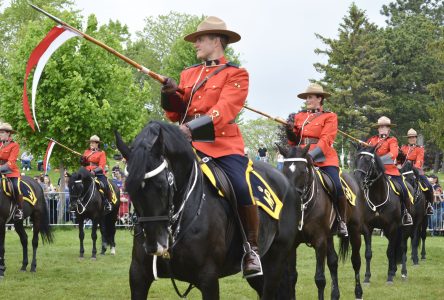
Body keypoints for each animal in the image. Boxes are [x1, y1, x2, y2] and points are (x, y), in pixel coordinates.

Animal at [116, 121, 300, 300]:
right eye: (129, 188)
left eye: (162, 185)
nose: (155, 246)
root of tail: (287, 182)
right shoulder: (138, 275)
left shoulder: (208, 278)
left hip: (275, 262)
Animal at [280, 144, 364, 298]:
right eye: (284, 170)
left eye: (303, 170)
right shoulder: (294, 244)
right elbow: (292, 277)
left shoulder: (319, 242)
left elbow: (319, 279)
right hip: (329, 236)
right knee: (333, 262)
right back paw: (335, 294)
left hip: (354, 231)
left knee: (356, 261)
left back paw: (358, 293)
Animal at [354, 145, 406, 284]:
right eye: (356, 159)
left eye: (367, 161)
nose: (356, 179)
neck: (378, 196)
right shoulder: (368, 228)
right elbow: (368, 253)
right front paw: (367, 277)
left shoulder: (392, 227)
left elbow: (389, 252)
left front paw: (389, 277)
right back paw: (394, 270)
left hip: (403, 229)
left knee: (402, 247)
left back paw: (403, 272)